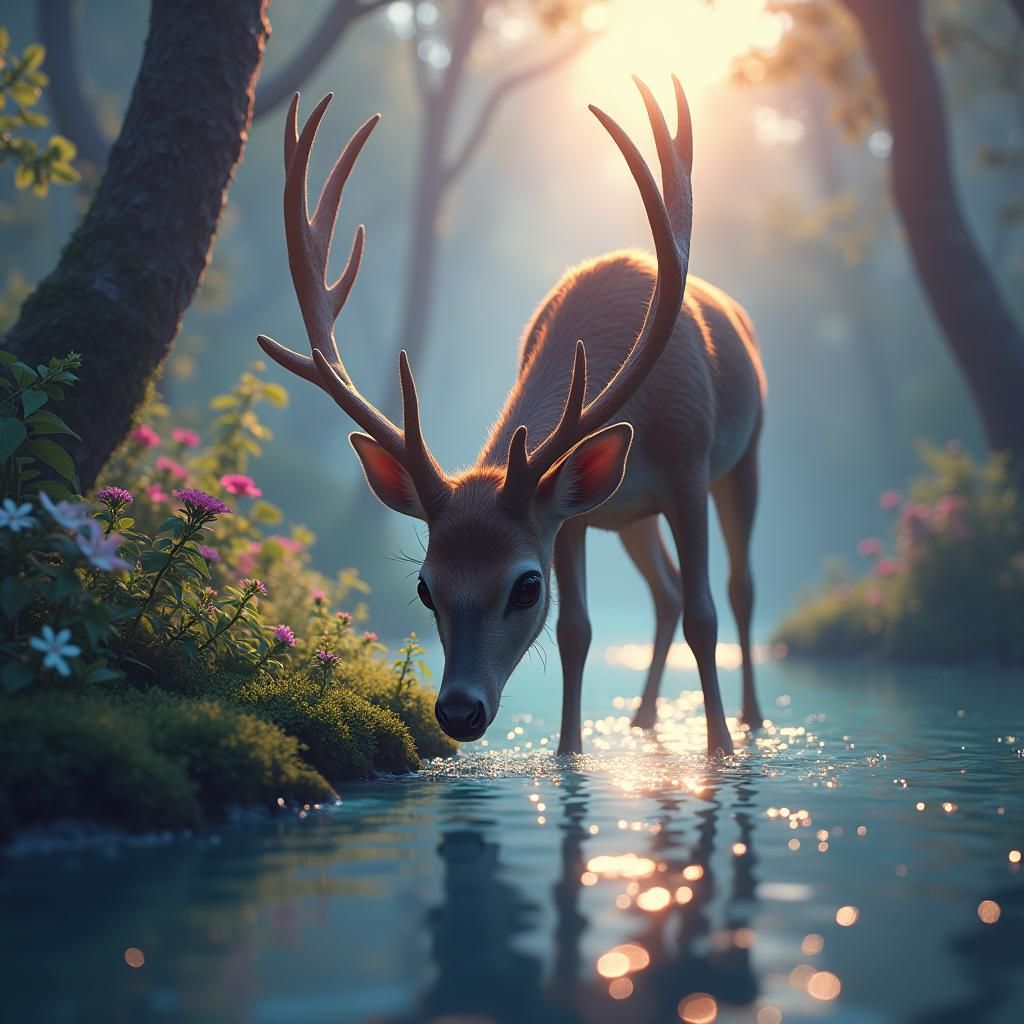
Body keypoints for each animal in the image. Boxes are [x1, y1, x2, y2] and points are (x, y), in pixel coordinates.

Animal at [257, 77, 766, 757]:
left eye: (526, 585)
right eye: (424, 586)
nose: (459, 710)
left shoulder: (688, 458)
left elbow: (704, 616)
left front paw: (721, 750)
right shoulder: (572, 515)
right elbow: (576, 631)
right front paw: (568, 753)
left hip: (745, 452)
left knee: (737, 589)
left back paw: (752, 721)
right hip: (629, 515)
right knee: (663, 593)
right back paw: (641, 720)